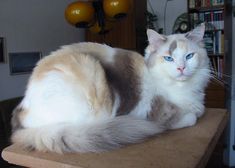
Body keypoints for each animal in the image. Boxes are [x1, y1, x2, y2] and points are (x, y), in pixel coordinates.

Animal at [10, 23, 209, 154]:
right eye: (168, 58)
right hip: (91, 80)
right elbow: (192, 117)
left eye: (189, 56)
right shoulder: (158, 111)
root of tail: (22, 110)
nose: (181, 68)